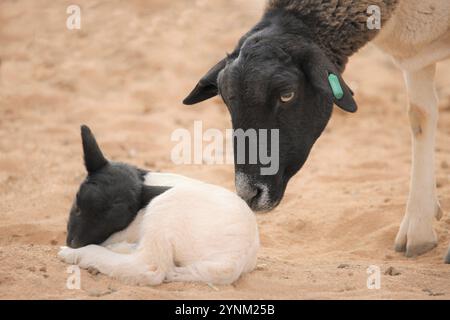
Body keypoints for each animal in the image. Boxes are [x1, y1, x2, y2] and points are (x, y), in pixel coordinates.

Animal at [59, 125, 260, 284]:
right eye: (77, 207)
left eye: (114, 223)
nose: (73, 243)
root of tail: (234, 260)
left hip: (163, 210)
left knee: (148, 267)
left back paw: (75, 254)